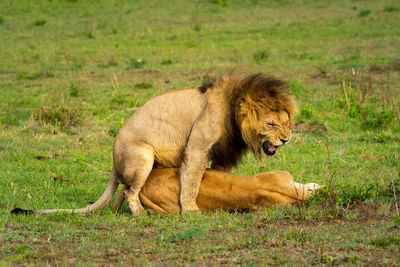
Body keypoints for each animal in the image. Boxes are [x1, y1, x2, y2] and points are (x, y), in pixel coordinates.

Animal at [11, 74, 296, 217]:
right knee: (129, 190)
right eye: (271, 124)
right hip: (143, 156)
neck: (234, 113)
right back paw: (139, 214)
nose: (286, 139)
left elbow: (218, 179)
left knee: (122, 192)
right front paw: (191, 209)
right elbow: (192, 181)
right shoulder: (197, 147)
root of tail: (113, 158)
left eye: (286, 122)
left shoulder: (223, 154)